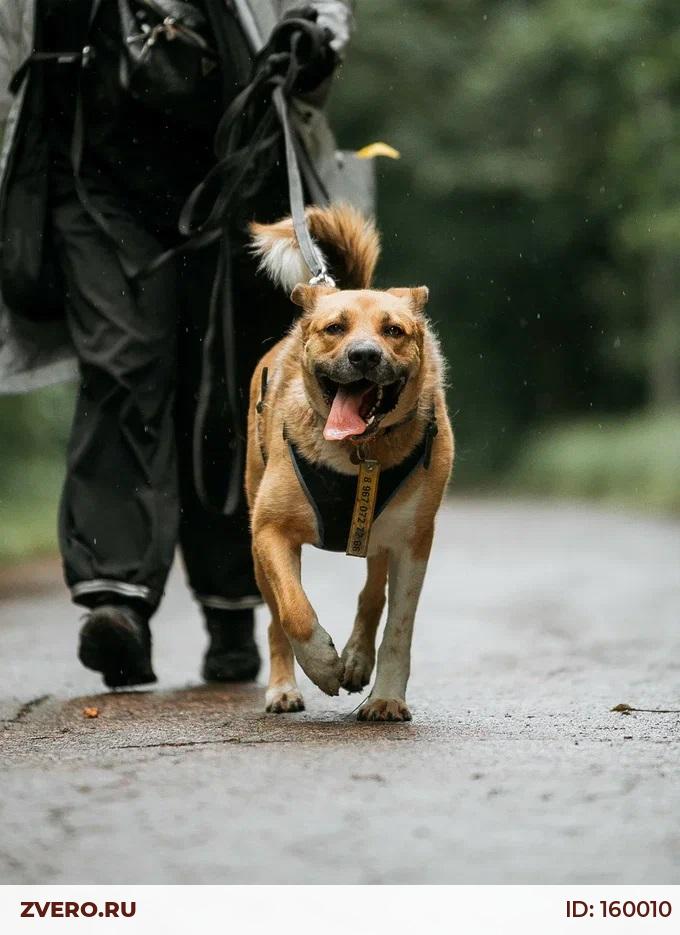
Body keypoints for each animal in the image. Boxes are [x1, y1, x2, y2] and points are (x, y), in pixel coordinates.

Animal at [245, 204, 454, 721]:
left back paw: (358, 659)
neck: (359, 452)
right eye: (334, 328)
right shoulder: (270, 530)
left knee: (371, 595)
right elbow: (294, 611)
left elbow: (398, 626)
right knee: (275, 618)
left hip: (382, 532)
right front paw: (322, 664)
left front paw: (385, 698)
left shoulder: (412, 540)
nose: (364, 356)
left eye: (393, 330)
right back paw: (284, 688)